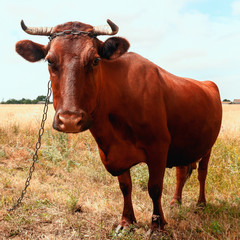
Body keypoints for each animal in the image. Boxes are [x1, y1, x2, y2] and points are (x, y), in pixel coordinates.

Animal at [15, 19, 222, 233]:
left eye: (95, 60)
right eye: (49, 61)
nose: (70, 120)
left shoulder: (158, 147)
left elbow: (154, 188)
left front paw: (157, 225)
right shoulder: (114, 153)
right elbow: (125, 187)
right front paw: (127, 221)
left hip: (208, 146)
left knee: (202, 174)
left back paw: (201, 203)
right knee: (182, 173)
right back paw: (175, 202)